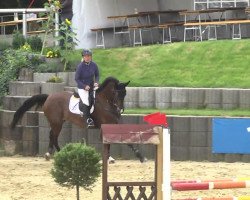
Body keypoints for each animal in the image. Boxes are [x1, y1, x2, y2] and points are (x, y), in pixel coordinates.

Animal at [10, 76, 146, 162]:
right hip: (57, 123)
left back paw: (55, 153)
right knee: (53, 136)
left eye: (125, 94)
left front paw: (140, 157)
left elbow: (126, 139)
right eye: (116, 93)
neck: (106, 103)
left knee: (52, 135)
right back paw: (57, 153)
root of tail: (49, 96)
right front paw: (110, 158)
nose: (120, 110)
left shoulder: (115, 125)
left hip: (57, 122)